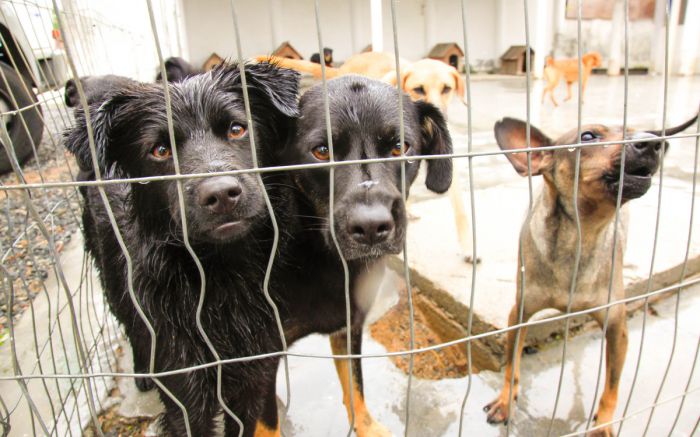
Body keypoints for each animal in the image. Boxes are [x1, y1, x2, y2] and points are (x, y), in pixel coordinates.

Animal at [66, 63, 304, 434]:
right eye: (160, 150)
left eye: (237, 129)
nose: (221, 194)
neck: (220, 277)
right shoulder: (185, 397)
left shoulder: (255, 376)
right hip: (112, 278)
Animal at [484, 113, 696, 436]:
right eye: (587, 136)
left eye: (632, 131)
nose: (653, 142)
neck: (577, 240)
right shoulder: (519, 314)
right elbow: (512, 366)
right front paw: (506, 400)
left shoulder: (617, 329)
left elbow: (611, 387)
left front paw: (603, 425)